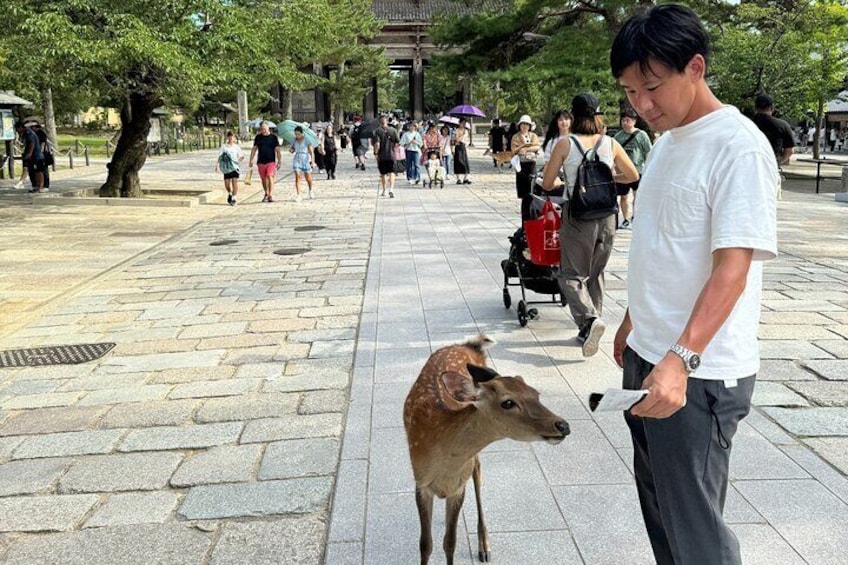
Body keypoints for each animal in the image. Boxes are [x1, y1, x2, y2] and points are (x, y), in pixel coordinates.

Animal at [404, 334, 568, 564]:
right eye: (507, 402)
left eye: (536, 394)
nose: (563, 425)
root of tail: (468, 345)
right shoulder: (420, 482)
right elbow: (425, 544)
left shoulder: (458, 487)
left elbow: (450, 542)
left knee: (477, 470)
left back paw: (484, 546)